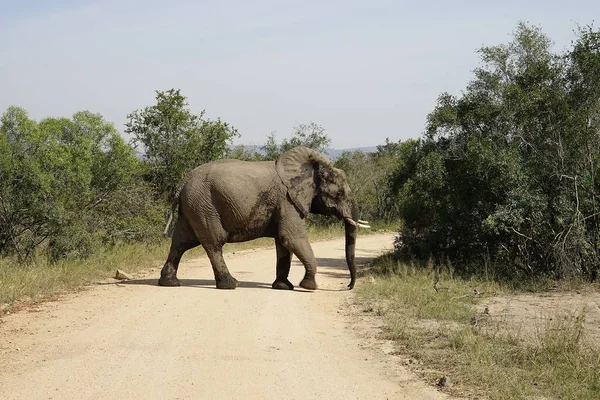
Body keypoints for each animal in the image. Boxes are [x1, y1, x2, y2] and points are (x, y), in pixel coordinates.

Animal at [157, 146, 368, 290]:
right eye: (339, 194)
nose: (347, 287)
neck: (312, 168)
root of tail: (183, 182)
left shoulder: (285, 203)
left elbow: (283, 244)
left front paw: (283, 287)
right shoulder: (288, 201)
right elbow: (291, 237)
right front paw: (308, 286)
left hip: (193, 208)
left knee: (181, 242)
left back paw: (169, 283)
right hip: (204, 206)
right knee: (213, 243)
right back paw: (230, 284)